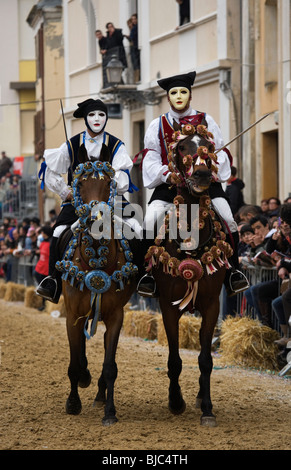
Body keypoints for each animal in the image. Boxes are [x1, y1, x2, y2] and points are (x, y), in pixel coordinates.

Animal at [58, 144, 139, 426]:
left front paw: (110, 412)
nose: (97, 219)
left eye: (108, 183)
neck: (95, 259)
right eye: (80, 183)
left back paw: (101, 394)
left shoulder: (116, 316)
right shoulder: (72, 313)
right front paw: (73, 402)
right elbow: (74, 361)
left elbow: (110, 365)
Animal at [147, 123, 234, 428]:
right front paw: (176, 402)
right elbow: (174, 359)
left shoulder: (211, 305)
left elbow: (205, 359)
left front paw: (207, 408)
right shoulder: (168, 307)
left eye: (208, 146)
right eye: (182, 146)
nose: (202, 174)